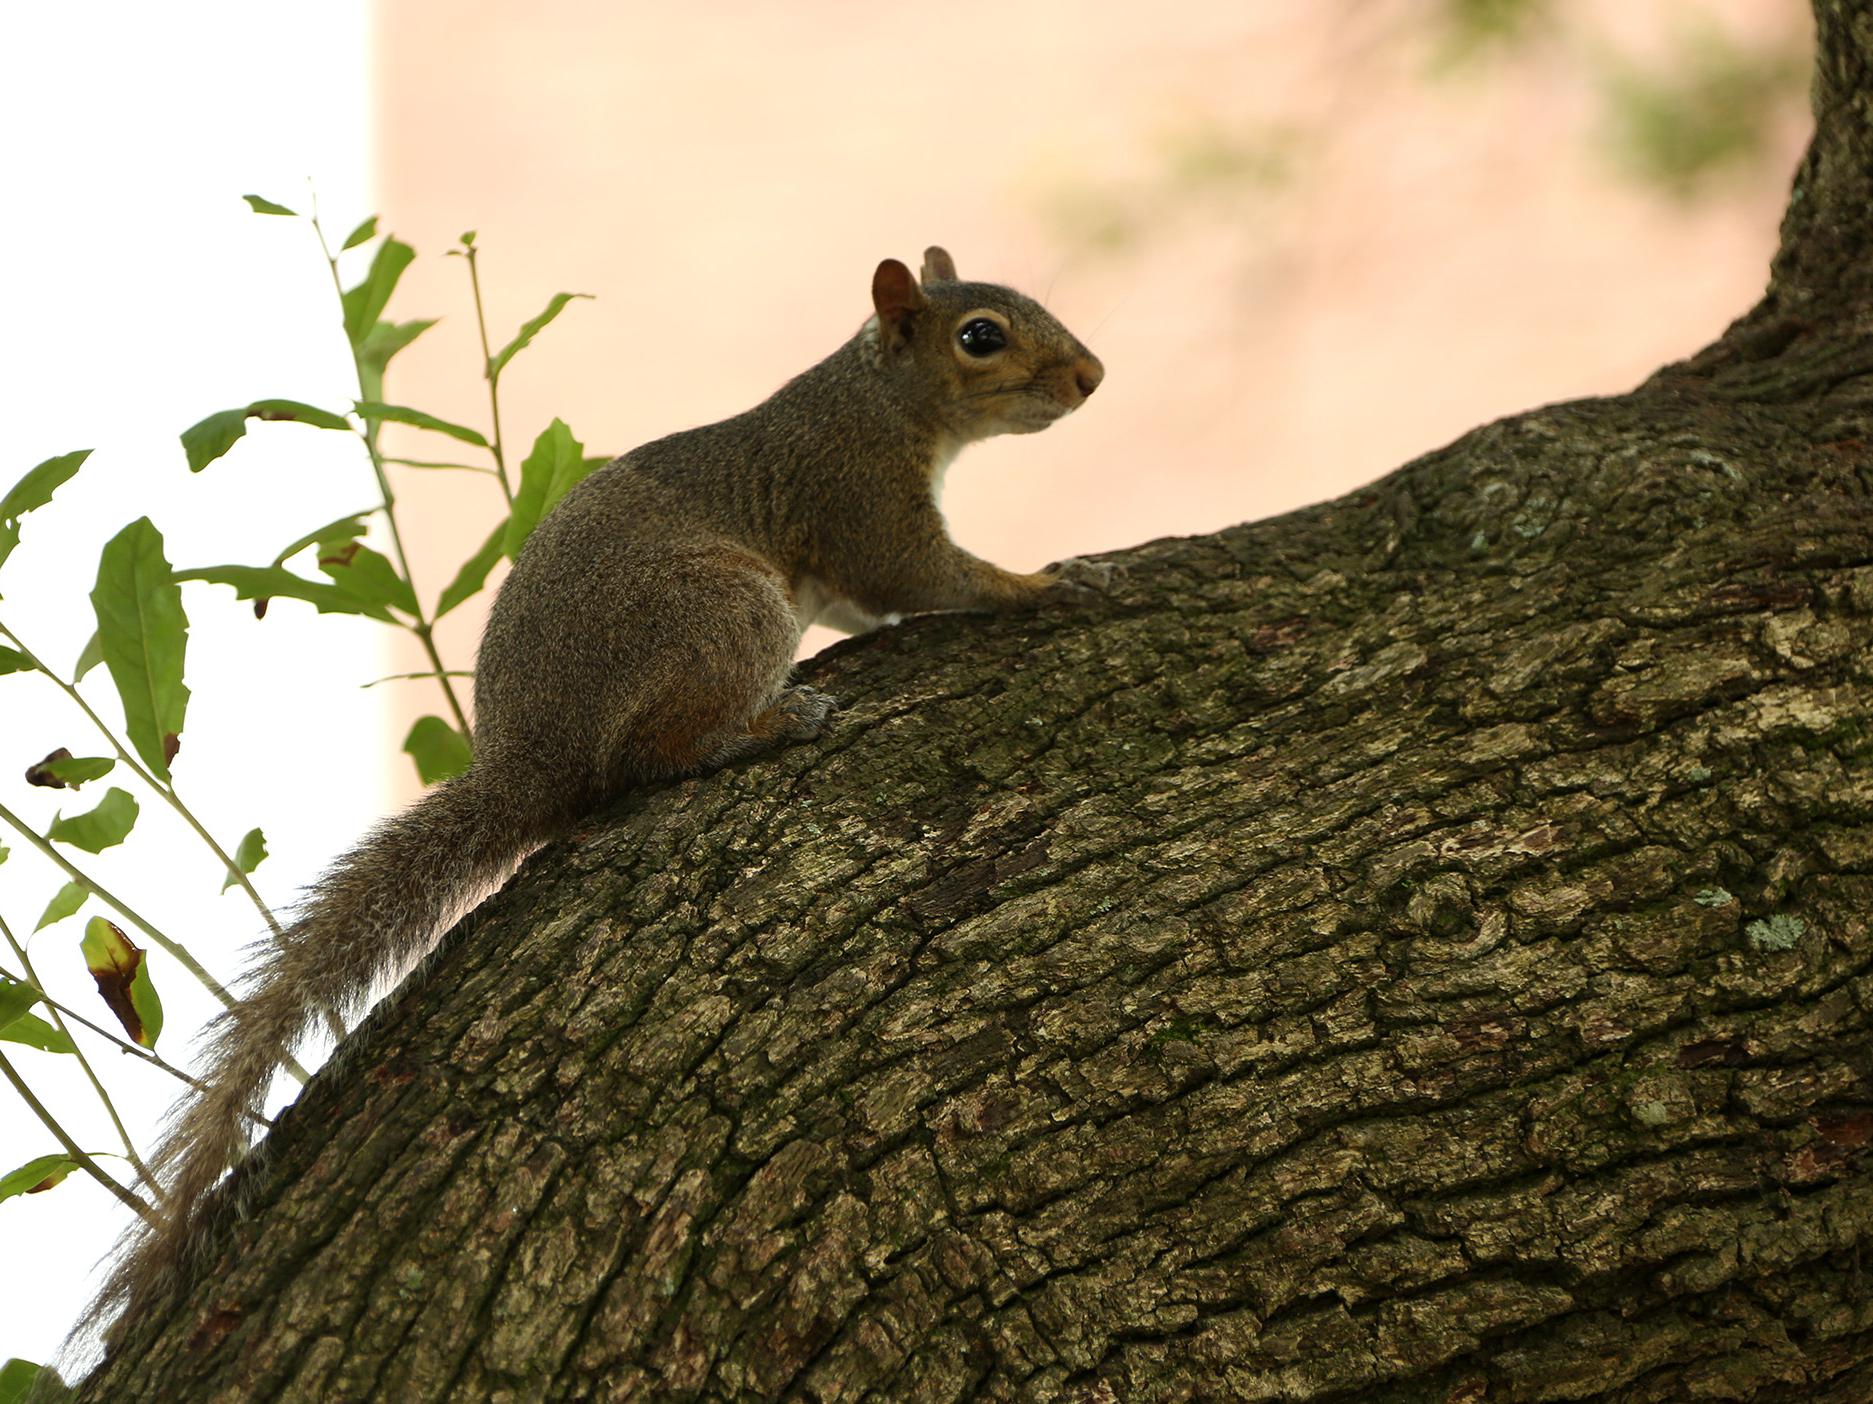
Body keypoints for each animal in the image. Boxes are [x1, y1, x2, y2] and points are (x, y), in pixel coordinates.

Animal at [88, 250, 1101, 1340]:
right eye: (982, 336)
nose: (1090, 377)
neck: (873, 400)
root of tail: (534, 762)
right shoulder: (859, 499)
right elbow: (926, 578)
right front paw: (1037, 584)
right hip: (727, 611)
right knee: (648, 760)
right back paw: (763, 727)